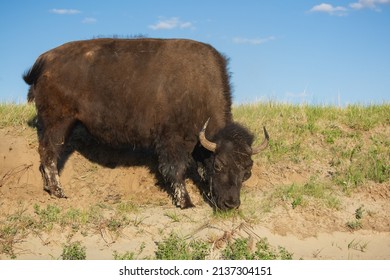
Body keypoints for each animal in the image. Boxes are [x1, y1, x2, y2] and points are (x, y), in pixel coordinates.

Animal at [23, 38, 268, 211]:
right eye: (218, 165)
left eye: (247, 171)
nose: (231, 204)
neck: (198, 88)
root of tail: (46, 59)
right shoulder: (173, 141)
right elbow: (176, 169)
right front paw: (186, 203)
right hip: (58, 123)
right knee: (49, 153)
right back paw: (59, 192)